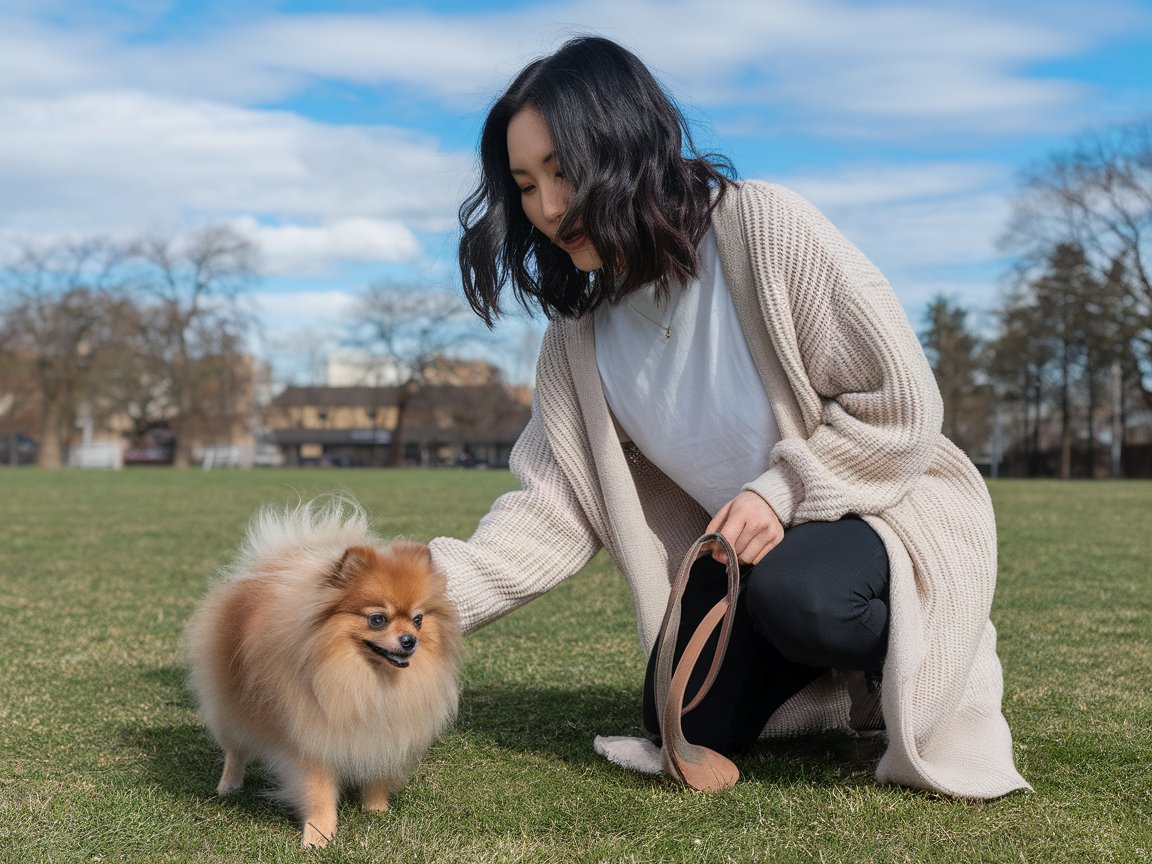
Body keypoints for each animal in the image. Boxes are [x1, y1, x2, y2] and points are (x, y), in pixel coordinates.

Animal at [184, 497, 458, 847]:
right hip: (232, 705)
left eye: (418, 619)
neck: (361, 676)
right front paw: (318, 835)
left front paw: (376, 809)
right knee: (235, 748)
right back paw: (229, 785)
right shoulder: (312, 735)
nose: (410, 640)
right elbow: (319, 791)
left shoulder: (384, 730)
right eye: (378, 619)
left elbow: (377, 774)